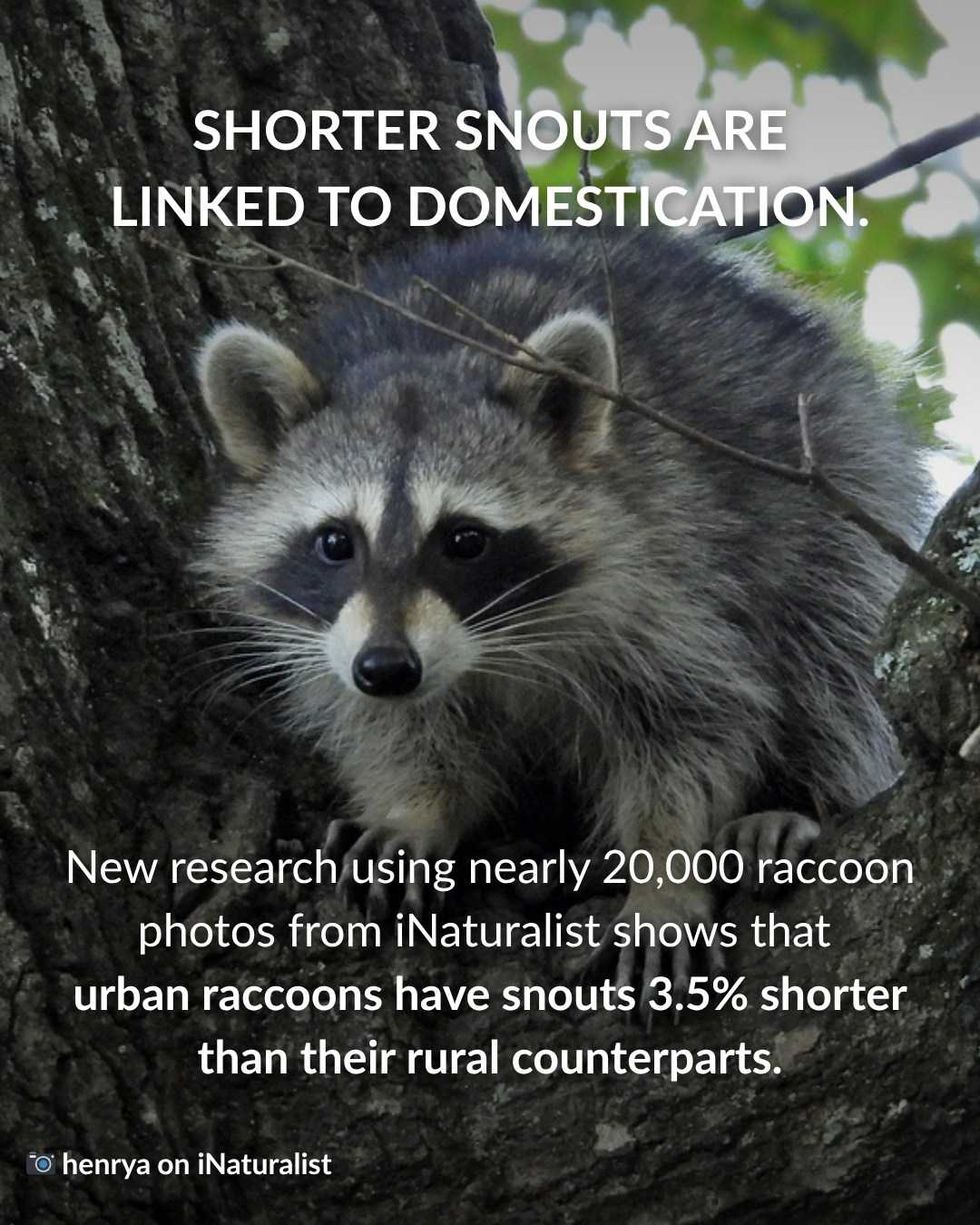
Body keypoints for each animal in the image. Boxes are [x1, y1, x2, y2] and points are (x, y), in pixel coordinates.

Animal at [194, 226, 928, 1003]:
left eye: (464, 540)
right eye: (336, 541)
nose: (388, 668)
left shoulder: (667, 560)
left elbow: (694, 720)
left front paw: (666, 868)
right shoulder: (337, 641)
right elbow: (395, 728)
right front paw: (416, 807)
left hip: (839, 468)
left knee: (833, 643)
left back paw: (803, 801)